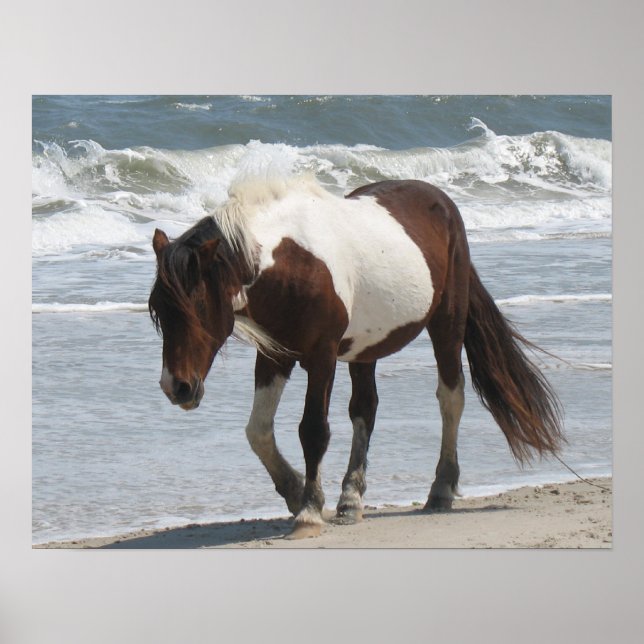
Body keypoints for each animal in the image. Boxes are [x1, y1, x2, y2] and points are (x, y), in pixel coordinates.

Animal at [148, 175, 563, 539]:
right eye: (159, 312)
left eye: (197, 306)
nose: (177, 387)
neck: (293, 262)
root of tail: (442, 202)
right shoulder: (274, 356)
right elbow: (259, 431)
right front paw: (296, 492)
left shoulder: (322, 357)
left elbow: (313, 431)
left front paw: (309, 512)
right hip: (365, 350)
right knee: (365, 408)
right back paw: (351, 500)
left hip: (447, 322)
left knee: (451, 398)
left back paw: (441, 488)